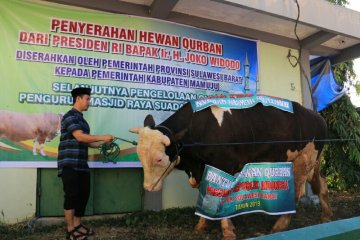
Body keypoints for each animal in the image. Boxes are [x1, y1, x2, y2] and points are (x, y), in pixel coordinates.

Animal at [129, 100, 332, 237]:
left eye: (159, 158)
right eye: (139, 155)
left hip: (304, 159)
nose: (148, 187)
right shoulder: (204, 168)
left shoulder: (224, 164)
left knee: (298, 190)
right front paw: (202, 225)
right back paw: (326, 217)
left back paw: (280, 225)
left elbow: (219, 195)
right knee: (320, 184)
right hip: (313, 161)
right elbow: (206, 193)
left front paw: (227, 231)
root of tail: (316, 115)